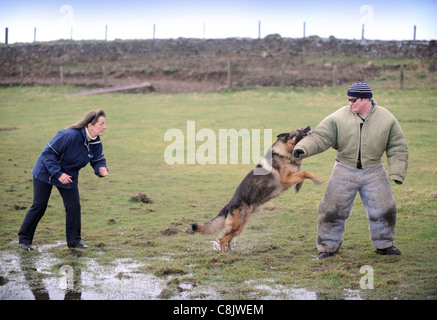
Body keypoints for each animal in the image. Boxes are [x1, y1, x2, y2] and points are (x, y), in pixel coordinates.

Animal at [192, 126, 322, 254]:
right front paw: (317, 179)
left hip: (239, 227)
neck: (284, 151)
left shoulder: (293, 175)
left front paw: (299, 186)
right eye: (298, 130)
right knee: (222, 239)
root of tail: (229, 204)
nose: (309, 126)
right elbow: (305, 172)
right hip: (238, 225)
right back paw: (224, 255)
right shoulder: (286, 179)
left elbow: (302, 174)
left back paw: (231, 252)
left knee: (228, 239)